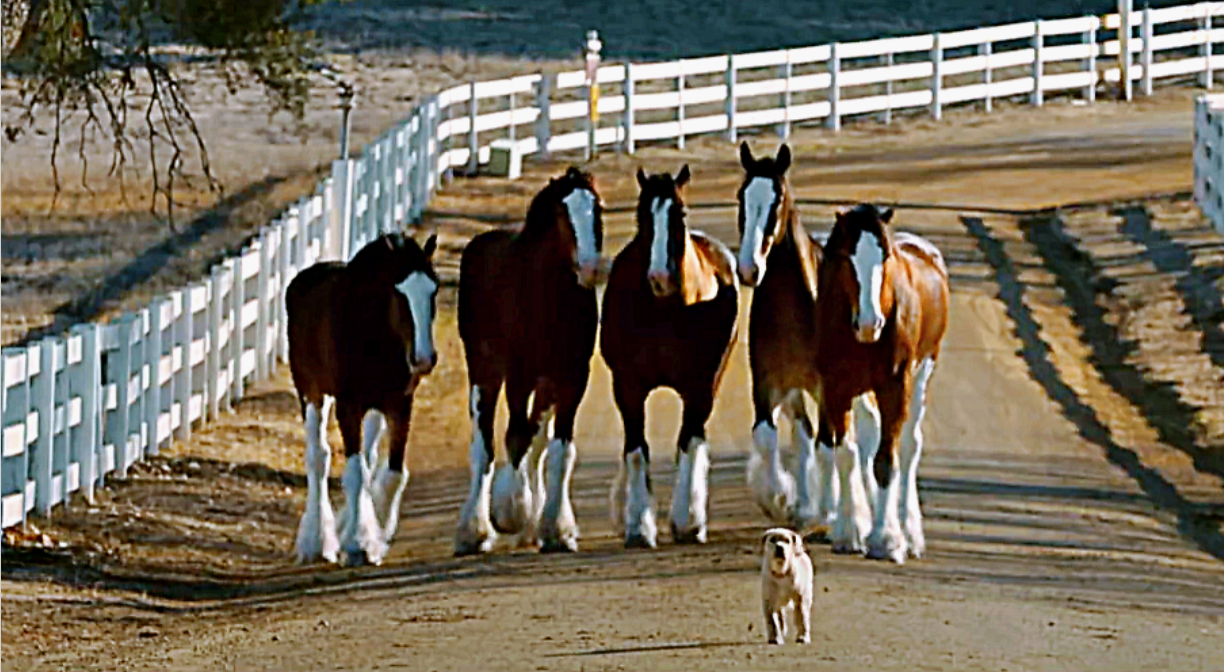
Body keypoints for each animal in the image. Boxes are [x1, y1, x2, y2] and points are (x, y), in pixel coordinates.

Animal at [452, 165, 604, 553]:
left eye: (597, 209)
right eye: (563, 214)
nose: (590, 268)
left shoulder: (572, 378)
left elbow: (559, 451)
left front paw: (557, 529)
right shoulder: (518, 376)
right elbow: (515, 438)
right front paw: (511, 512)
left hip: (545, 384)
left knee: (536, 439)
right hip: (485, 372)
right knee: (484, 445)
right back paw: (474, 531)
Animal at [599, 165, 734, 548]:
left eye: (680, 212)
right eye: (641, 215)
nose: (660, 277)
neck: (664, 311)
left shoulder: (699, 388)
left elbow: (688, 443)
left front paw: (687, 522)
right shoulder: (627, 387)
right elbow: (636, 449)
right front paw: (638, 525)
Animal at [734, 143, 881, 531]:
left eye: (777, 200)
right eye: (742, 197)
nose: (748, 269)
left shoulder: (827, 387)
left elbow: (827, 446)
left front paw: (828, 510)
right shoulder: (766, 382)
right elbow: (769, 436)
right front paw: (779, 500)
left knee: (862, 433)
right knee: (803, 434)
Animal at [817, 203, 949, 560]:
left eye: (885, 256)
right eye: (847, 256)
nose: (870, 322)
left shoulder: (894, 386)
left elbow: (886, 461)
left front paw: (887, 538)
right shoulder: (835, 388)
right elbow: (847, 453)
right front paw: (850, 531)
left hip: (922, 372)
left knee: (909, 446)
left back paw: (910, 532)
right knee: (867, 438)